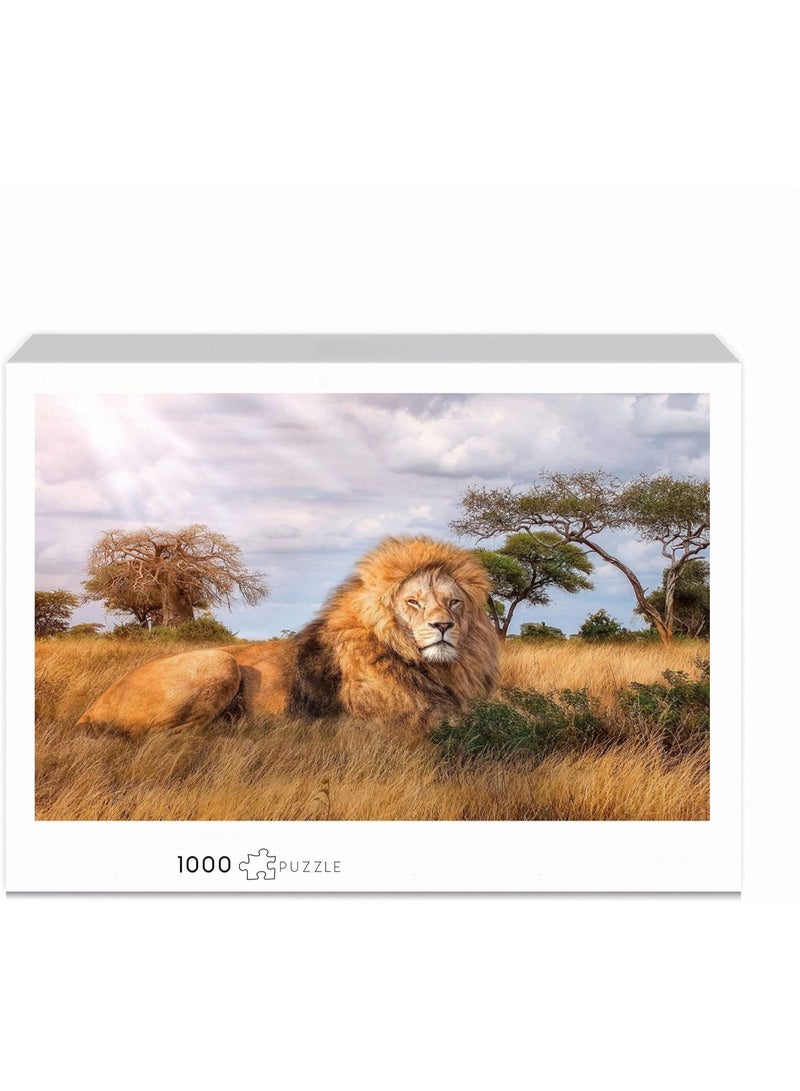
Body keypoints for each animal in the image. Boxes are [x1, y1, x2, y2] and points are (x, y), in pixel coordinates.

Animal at [76, 536, 501, 735]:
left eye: (454, 603)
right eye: (413, 602)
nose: (443, 626)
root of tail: (91, 708)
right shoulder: (398, 725)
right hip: (219, 660)